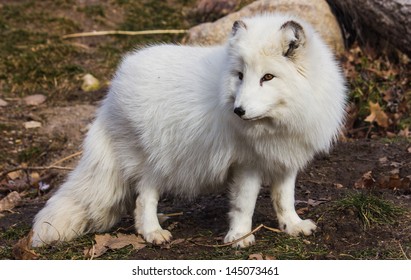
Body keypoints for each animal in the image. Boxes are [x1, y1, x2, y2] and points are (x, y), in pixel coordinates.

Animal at [33, 14, 348, 248]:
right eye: (240, 75)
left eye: (268, 77)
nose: (238, 111)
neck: (276, 124)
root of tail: (112, 90)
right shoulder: (246, 164)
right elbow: (244, 204)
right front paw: (240, 237)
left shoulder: (286, 159)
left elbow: (285, 199)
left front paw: (292, 225)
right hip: (157, 160)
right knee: (143, 197)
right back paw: (152, 232)